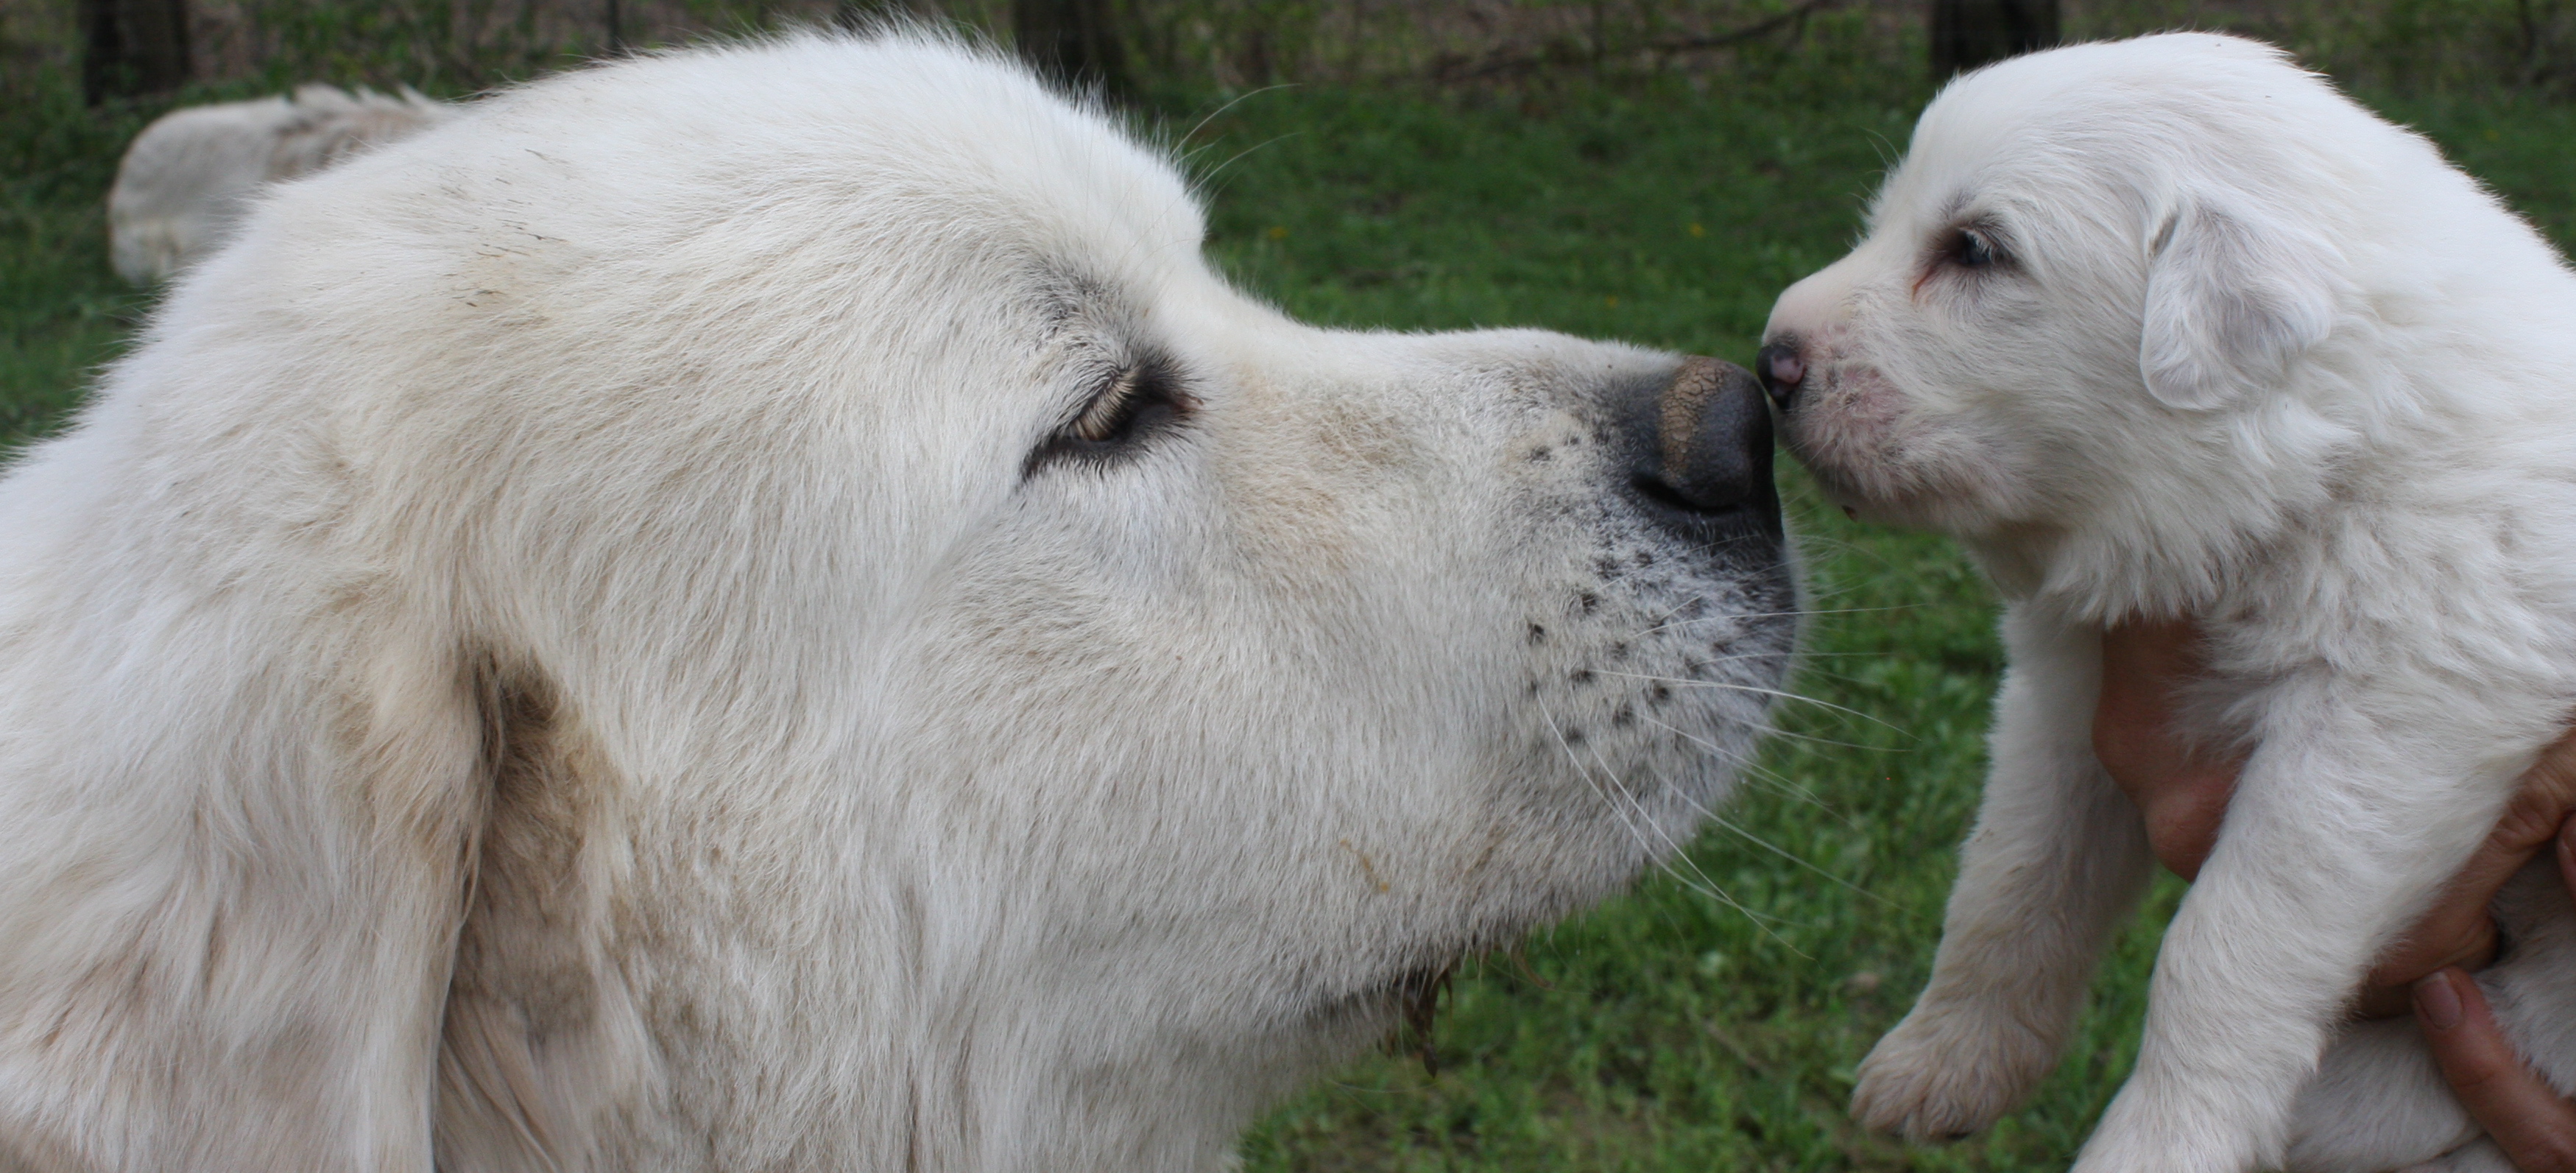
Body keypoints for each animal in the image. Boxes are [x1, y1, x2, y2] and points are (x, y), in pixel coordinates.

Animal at [1762, 32, 2576, 1173]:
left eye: (1975, 250)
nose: (1767, 364)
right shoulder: (2062, 700)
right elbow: (2012, 876)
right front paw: (1945, 1059)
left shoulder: (2386, 725)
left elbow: (2225, 941)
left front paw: (2159, 1142)